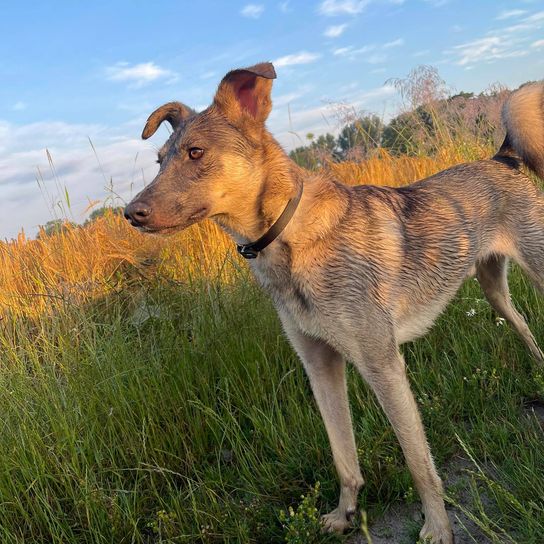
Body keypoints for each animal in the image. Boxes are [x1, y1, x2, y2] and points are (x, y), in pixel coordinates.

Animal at [124, 61, 544, 540]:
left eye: (195, 152)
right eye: (160, 161)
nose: (130, 213)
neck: (287, 241)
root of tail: (501, 158)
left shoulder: (383, 365)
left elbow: (419, 462)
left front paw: (437, 526)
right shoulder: (319, 364)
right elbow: (343, 455)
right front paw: (345, 514)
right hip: (494, 290)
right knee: (524, 325)